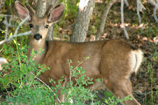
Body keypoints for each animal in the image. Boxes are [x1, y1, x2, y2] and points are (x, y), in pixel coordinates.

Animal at [14, 1, 143, 104]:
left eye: (46, 25)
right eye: (30, 25)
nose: (37, 36)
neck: (42, 58)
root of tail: (134, 50)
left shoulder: (59, 78)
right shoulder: (68, 85)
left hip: (115, 78)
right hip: (126, 81)